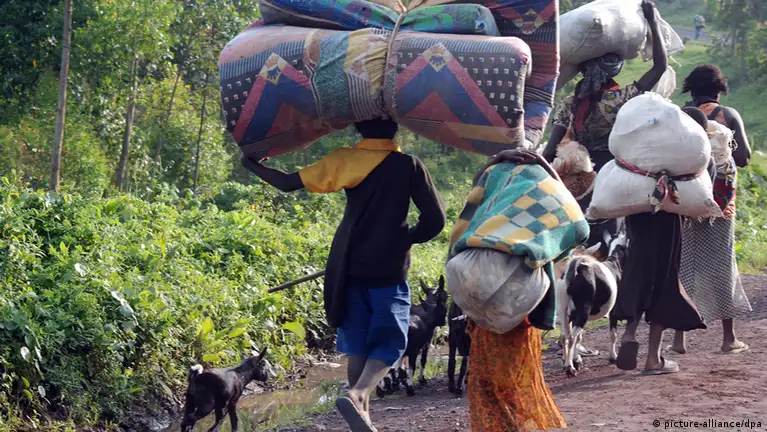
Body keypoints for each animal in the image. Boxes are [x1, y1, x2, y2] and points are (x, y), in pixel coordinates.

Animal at [556, 228, 629, 377]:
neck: (614, 263)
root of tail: (574, 271)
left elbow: (580, 337)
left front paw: (577, 360)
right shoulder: (614, 309)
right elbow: (613, 334)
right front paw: (613, 357)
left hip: (563, 310)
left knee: (565, 336)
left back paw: (567, 364)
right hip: (583, 310)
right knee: (571, 337)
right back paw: (570, 368)